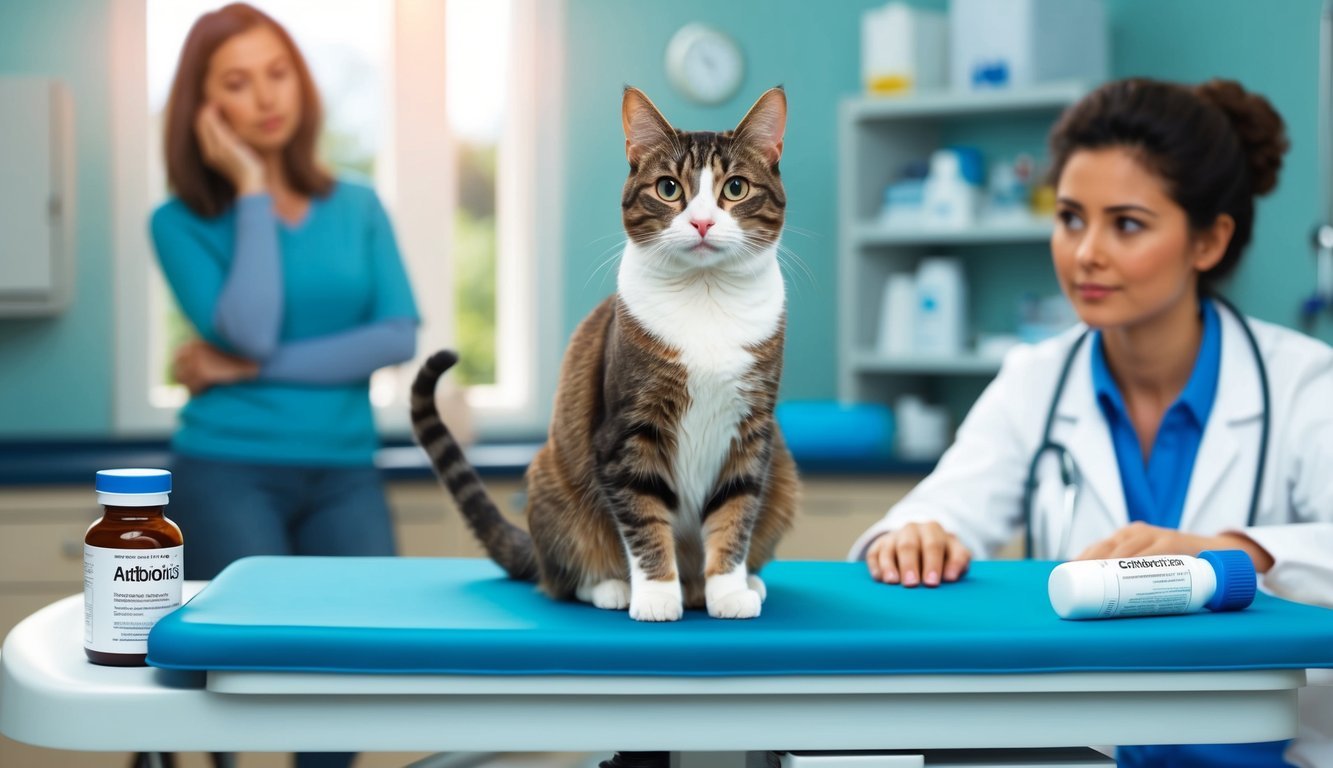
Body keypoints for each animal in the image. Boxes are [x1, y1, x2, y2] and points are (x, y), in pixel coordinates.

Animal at [410, 86, 794, 621]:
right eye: (668, 188)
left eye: (735, 188)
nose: (700, 222)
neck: (705, 297)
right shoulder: (627, 430)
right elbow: (643, 518)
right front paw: (656, 595)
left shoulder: (752, 432)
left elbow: (736, 512)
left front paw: (729, 590)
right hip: (551, 481)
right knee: (562, 578)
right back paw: (614, 587)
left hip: (785, 472)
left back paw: (734, 584)